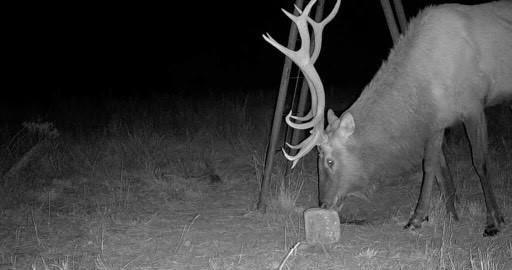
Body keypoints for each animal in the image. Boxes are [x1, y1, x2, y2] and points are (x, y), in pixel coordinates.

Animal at [264, 0, 512, 236]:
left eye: (330, 161)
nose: (323, 203)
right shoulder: (438, 121)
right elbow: (430, 165)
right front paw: (420, 218)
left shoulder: (474, 105)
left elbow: (480, 161)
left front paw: (494, 221)